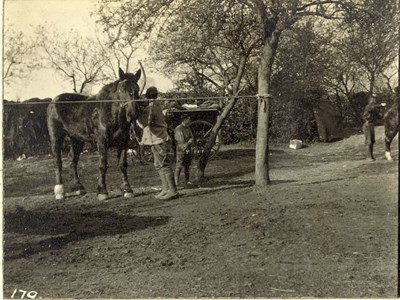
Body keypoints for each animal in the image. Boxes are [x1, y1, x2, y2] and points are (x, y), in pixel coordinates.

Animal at [47, 67, 146, 199]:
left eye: (137, 89)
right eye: (122, 89)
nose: (133, 114)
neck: (110, 111)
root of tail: (53, 101)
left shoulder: (123, 142)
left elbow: (122, 165)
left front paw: (127, 189)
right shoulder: (102, 142)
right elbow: (102, 165)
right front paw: (102, 191)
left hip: (77, 139)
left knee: (73, 161)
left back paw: (79, 188)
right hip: (56, 137)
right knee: (58, 161)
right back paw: (59, 191)